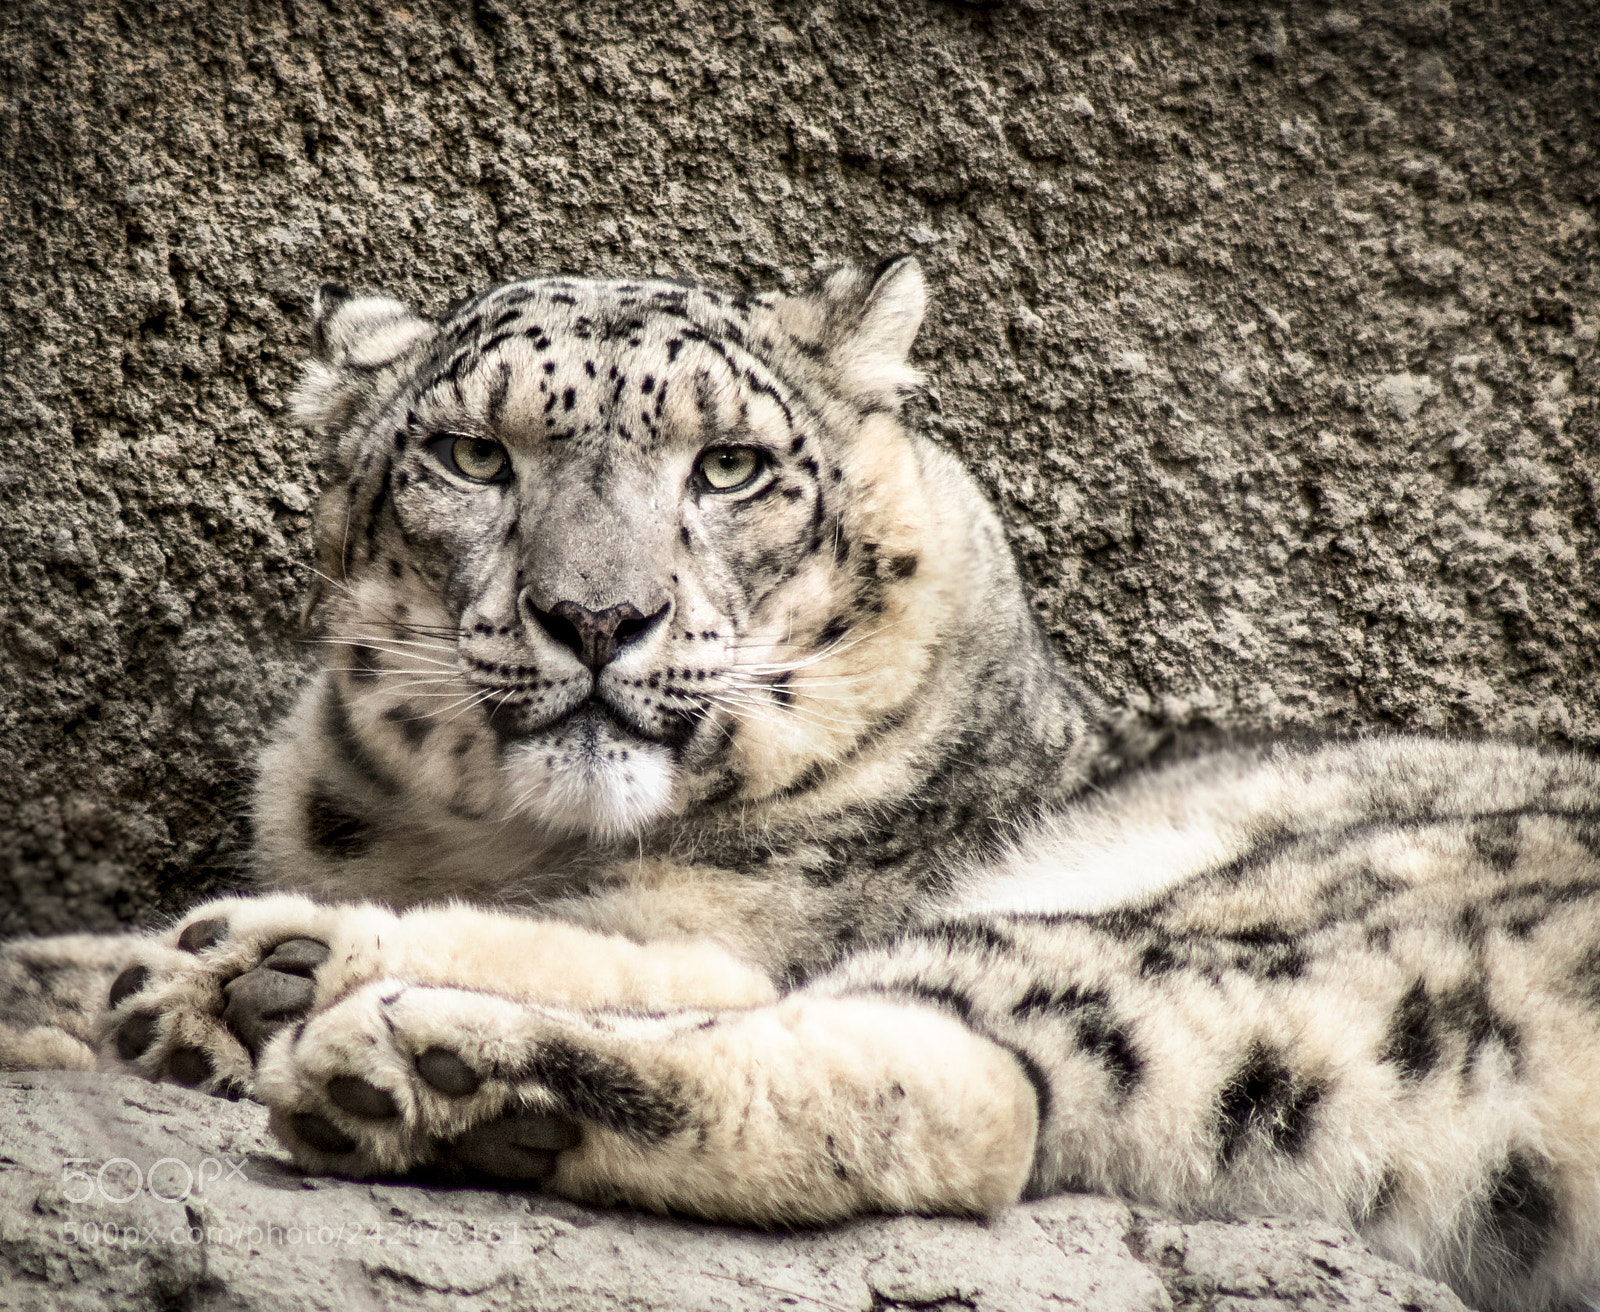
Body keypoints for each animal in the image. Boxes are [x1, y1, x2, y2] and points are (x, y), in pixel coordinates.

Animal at [3, 257, 1599, 1312]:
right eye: (470, 453)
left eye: (729, 466)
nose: (597, 618)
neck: (483, 835)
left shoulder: (758, 908)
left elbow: (659, 950)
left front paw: (160, 973)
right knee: (981, 1090)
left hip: (1280, 912)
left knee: (964, 1070)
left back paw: (351, 1032)